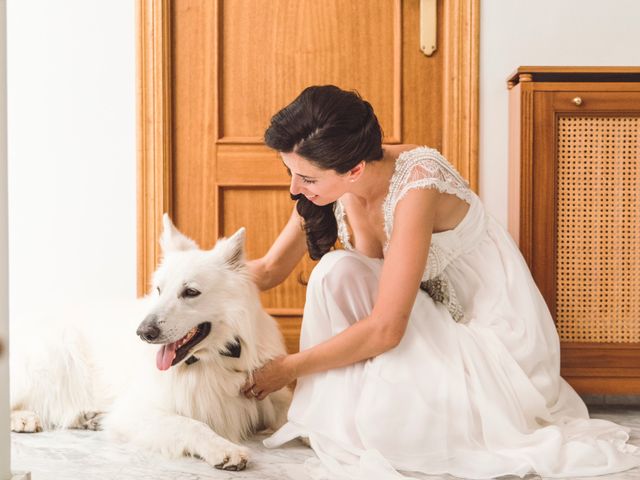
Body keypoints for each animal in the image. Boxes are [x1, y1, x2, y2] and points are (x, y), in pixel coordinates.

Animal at [10, 216, 290, 470]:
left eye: (191, 292)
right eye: (158, 289)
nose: (143, 332)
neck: (214, 359)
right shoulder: (135, 411)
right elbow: (191, 424)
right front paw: (224, 448)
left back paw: (89, 417)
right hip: (51, 361)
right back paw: (23, 419)